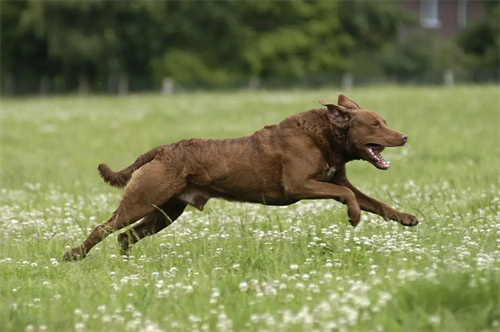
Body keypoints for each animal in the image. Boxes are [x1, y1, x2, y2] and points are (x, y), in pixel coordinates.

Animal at [62, 92, 418, 260]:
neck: (326, 136)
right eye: (375, 124)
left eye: (384, 122)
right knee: (105, 228)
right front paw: (354, 217)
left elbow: (375, 202)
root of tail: (161, 150)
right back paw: (73, 255)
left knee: (125, 236)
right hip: (144, 199)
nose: (404, 137)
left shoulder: (336, 181)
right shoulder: (300, 185)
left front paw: (406, 218)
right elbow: (349, 198)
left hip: (166, 211)